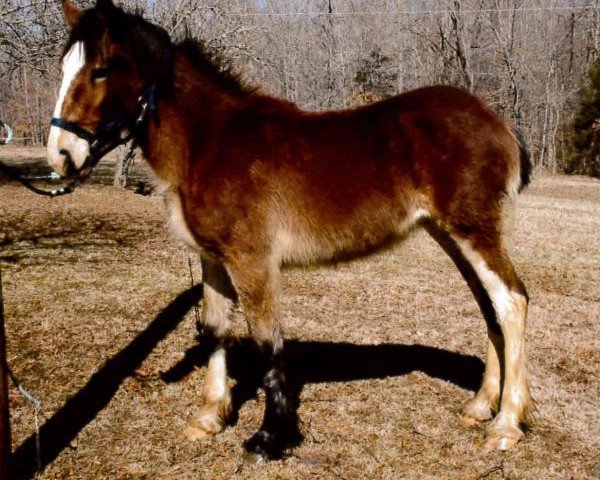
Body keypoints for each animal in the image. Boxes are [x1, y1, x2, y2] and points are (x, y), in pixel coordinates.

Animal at [47, 0, 536, 460]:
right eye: (63, 68)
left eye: (101, 70)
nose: (61, 156)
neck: (210, 143)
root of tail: (499, 123)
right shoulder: (213, 259)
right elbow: (216, 329)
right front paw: (210, 417)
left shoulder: (252, 262)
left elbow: (267, 341)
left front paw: (270, 437)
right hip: (451, 236)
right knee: (490, 307)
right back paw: (482, 406)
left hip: (473, 233)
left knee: (511, 301)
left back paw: (506, 425)